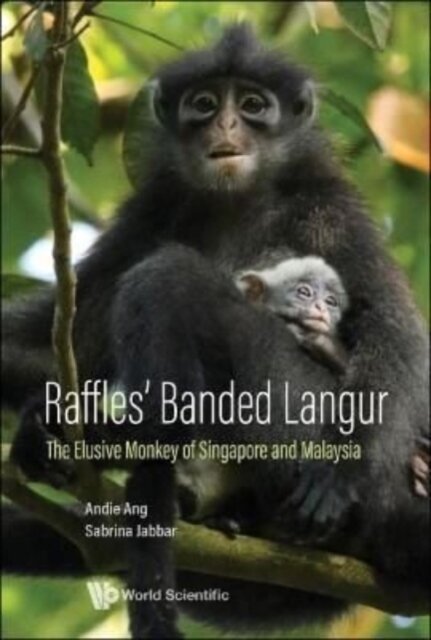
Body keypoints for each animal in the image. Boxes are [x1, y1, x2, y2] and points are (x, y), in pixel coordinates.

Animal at [2, 24, 429, 639]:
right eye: (204, 104)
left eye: (252, 105)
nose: (225, 126)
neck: (235, 201)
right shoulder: (153, 211)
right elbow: (56, 342)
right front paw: (51, 416)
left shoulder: (329, 206)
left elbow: (393, 334)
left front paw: (337, 476)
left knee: (169, 276)